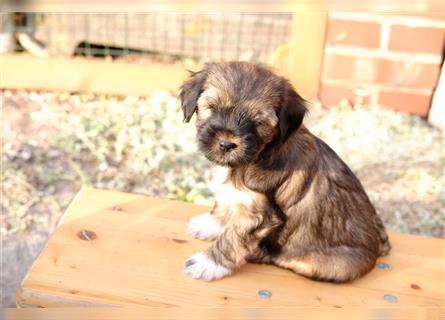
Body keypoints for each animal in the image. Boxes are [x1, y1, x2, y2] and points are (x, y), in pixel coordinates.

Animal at [177, 62, 388, 282]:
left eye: (259, 122)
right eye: (213, 108)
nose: (226, 144)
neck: (262, 152)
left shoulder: (259, 214)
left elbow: (233, 237)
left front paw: (209, 263)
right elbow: (226, 203)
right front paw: (211, 224)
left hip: (330, 264)